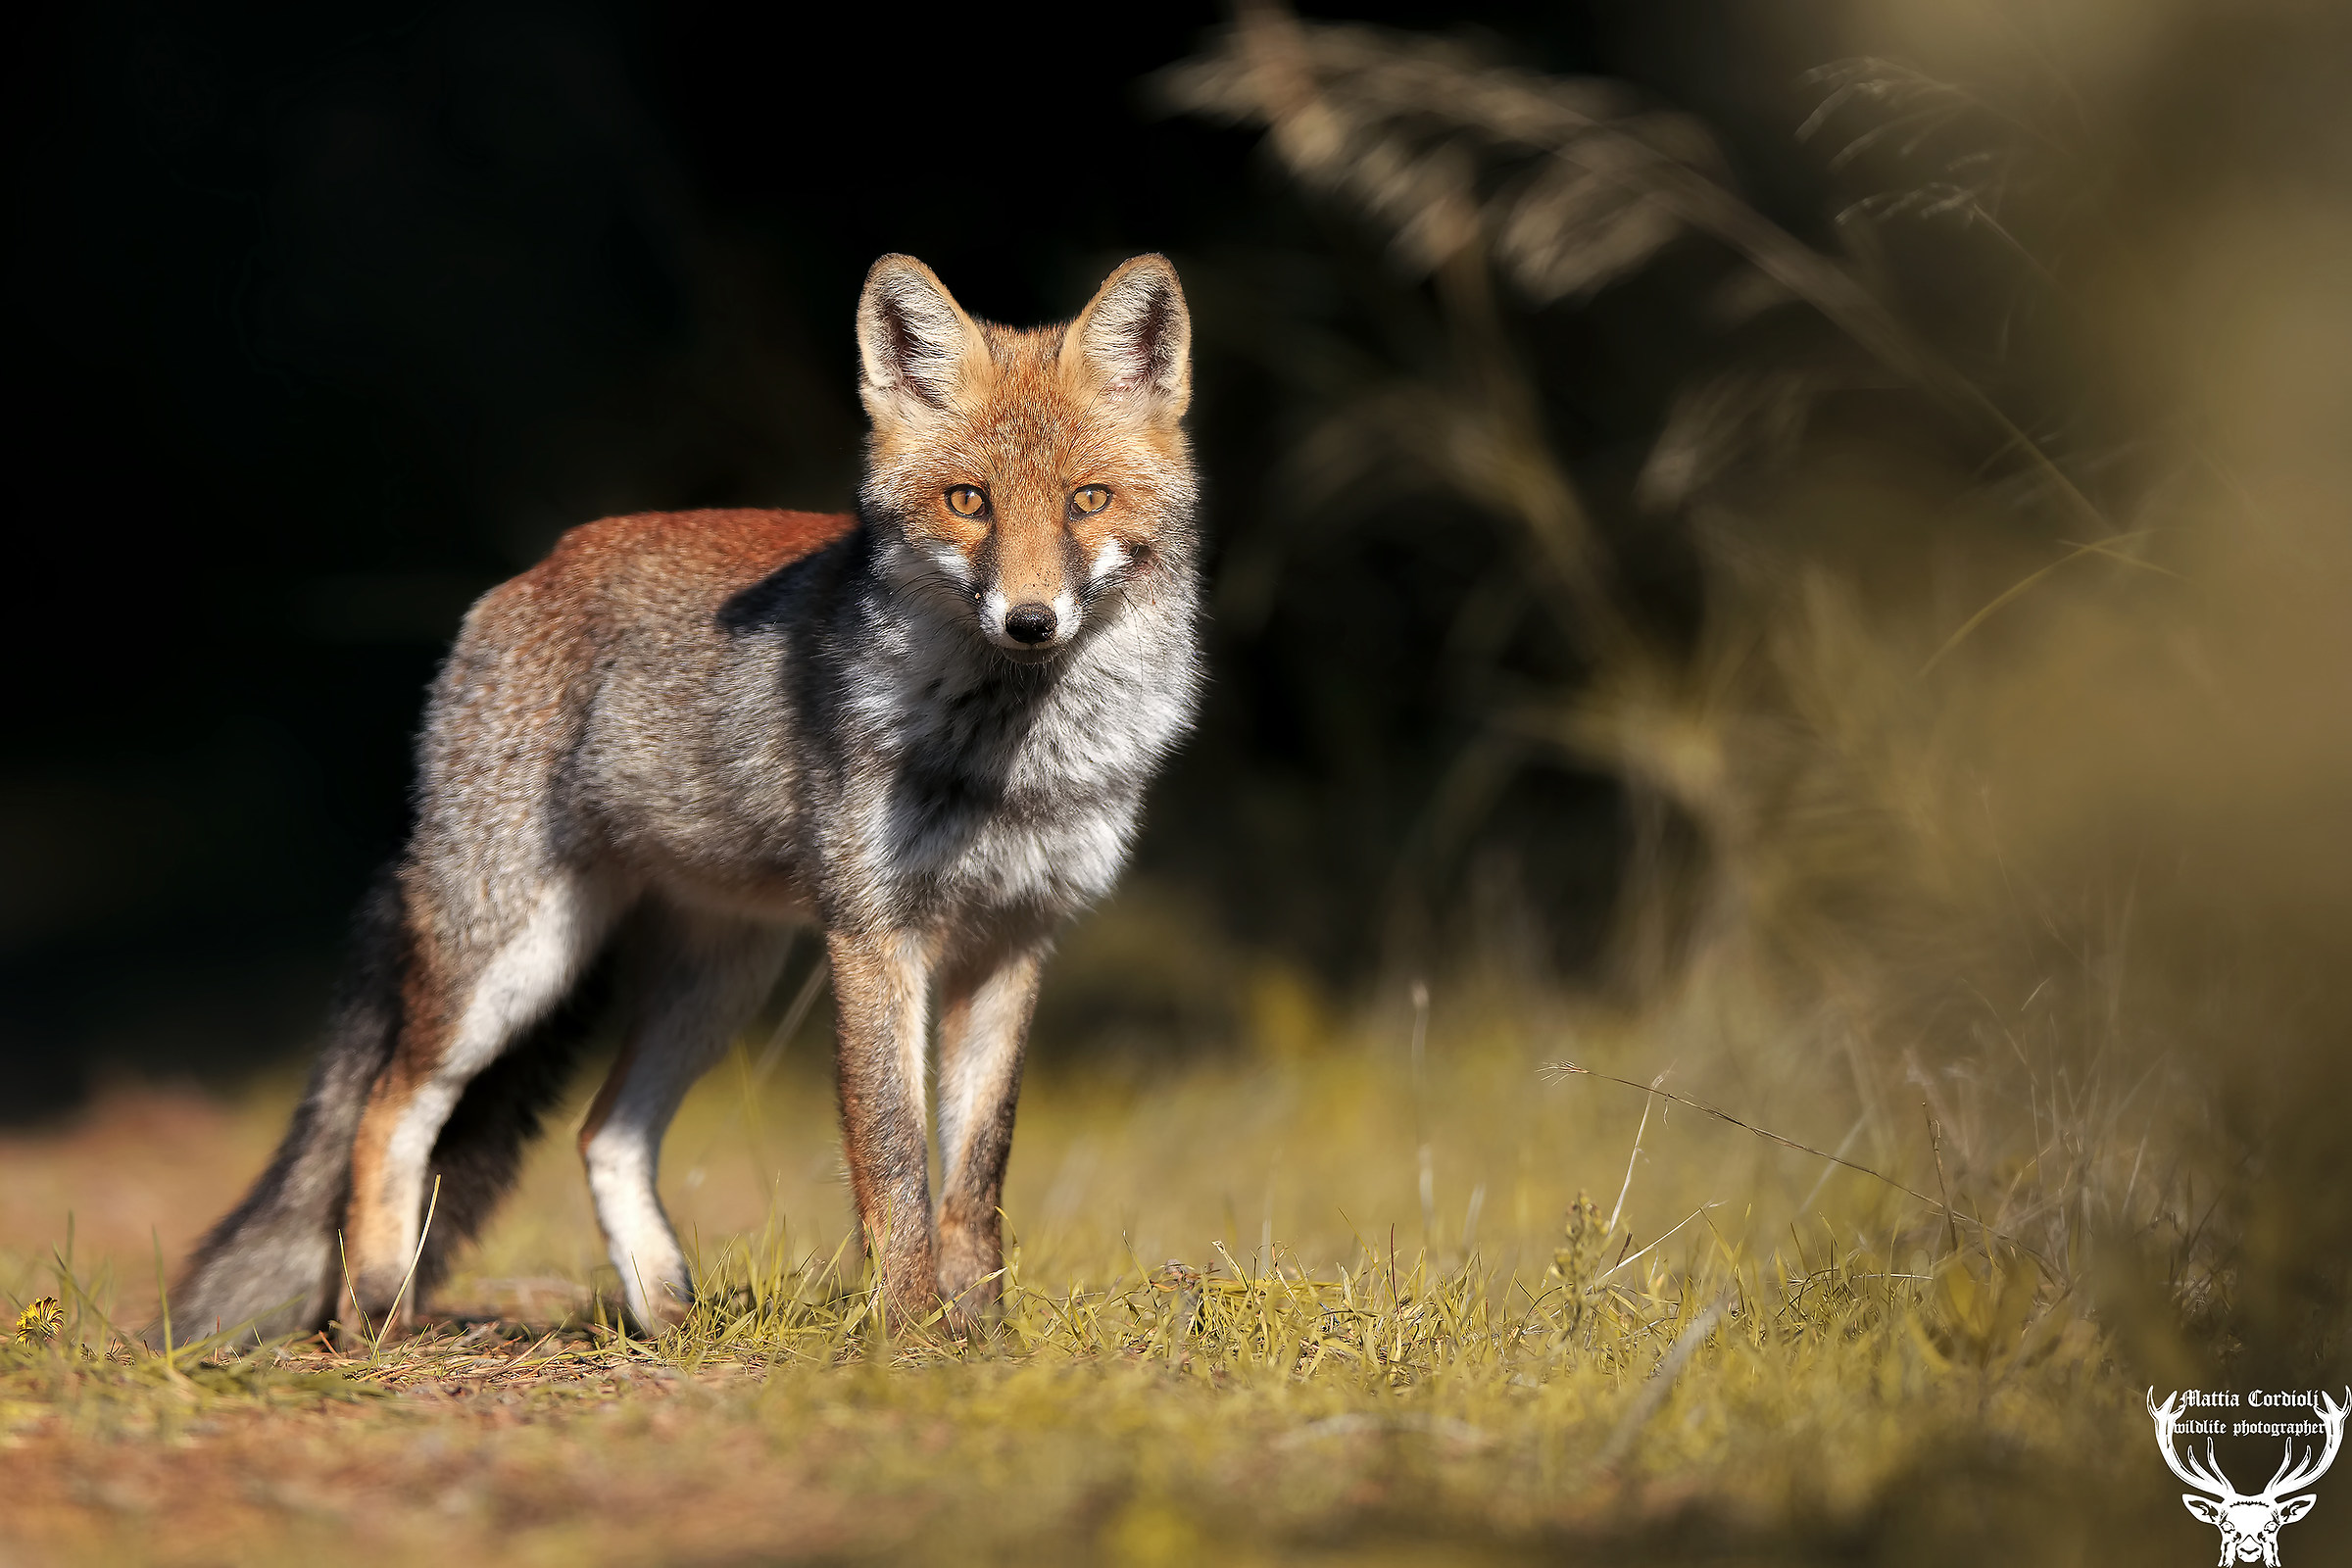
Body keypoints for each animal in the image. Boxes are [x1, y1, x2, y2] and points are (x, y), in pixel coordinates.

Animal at [163, 253, 1202, 1343]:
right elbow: (894, 1163)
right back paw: (376, 1311)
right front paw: (912, 1328)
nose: (1031, 621)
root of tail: (530, 573)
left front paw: (983, 1333)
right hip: (512, 963)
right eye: (969, 500)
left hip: (719, 981)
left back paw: (662, 1308)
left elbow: (977, 1175)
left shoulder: (1016, 939)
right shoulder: (876, 936)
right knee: (388, 1110)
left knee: (602, 1130)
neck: (1015, 759)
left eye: (1088, 499)